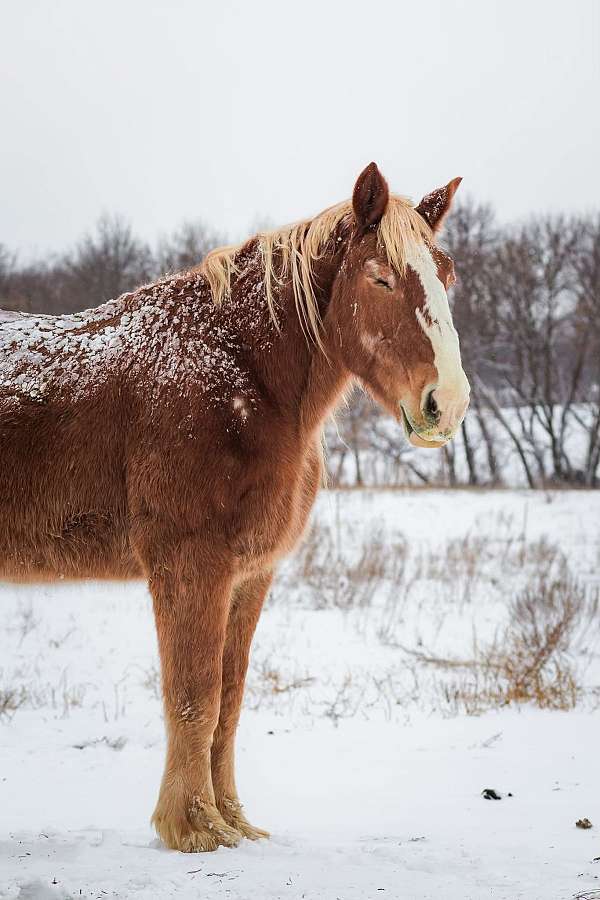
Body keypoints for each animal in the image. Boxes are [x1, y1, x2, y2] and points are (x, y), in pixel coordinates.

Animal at [0, 163, 468, 852]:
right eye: (379, 276)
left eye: (447, 275)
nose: (447, 404)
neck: (238, 378)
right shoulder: (192, 566)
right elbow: (195, 697)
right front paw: (192, 827)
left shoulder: (249, 575)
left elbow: (229, 700)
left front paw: (233, 822)